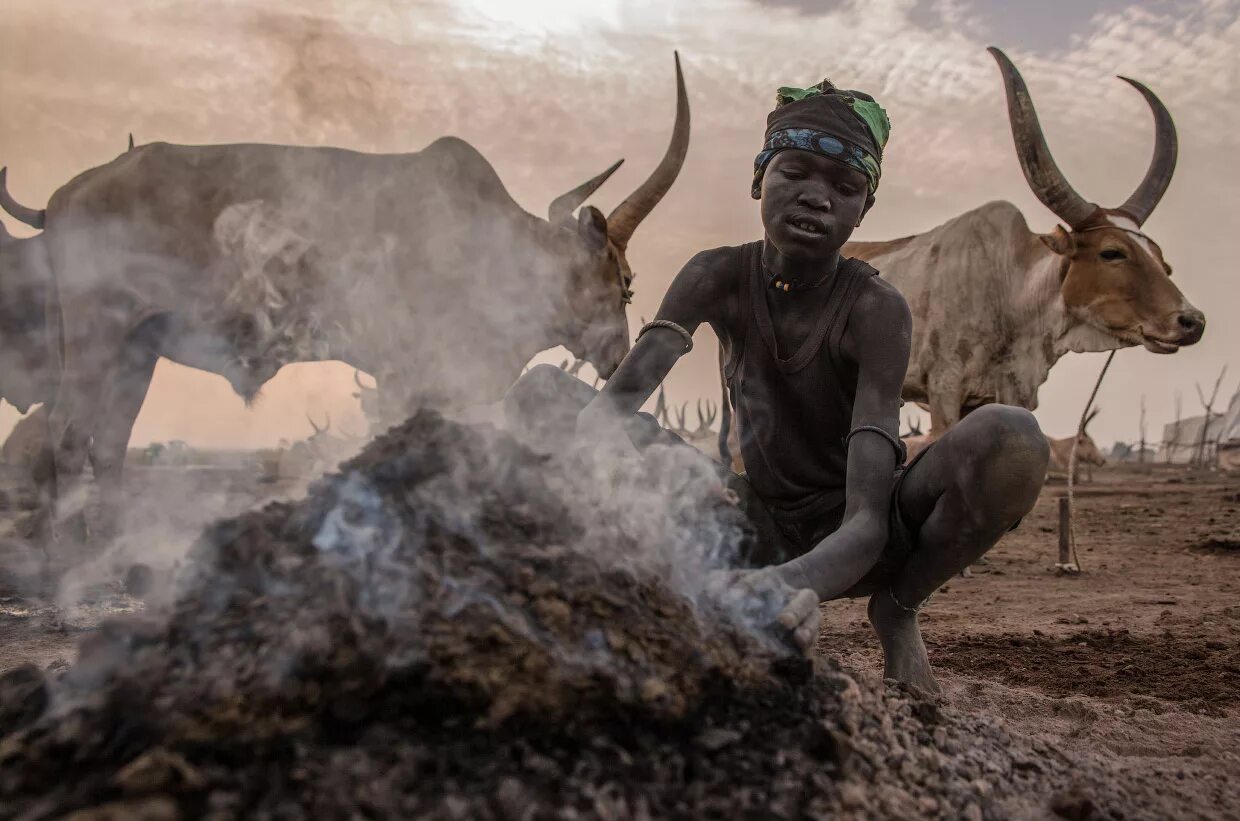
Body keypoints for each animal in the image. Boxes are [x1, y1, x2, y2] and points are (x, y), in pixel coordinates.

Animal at [0, 56, 694, 540]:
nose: (619, 354)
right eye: (625, 282)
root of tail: (66, 195)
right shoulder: (406, 372)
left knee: (109, 442)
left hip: (136, 351)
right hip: (97, 335)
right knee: (67, 434)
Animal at [843, 48, 1200, 441]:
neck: (1010, 290)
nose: (1191, 321)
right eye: (1111, 252)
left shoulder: (1008, 394)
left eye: (1163, 263)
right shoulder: (944, 389)